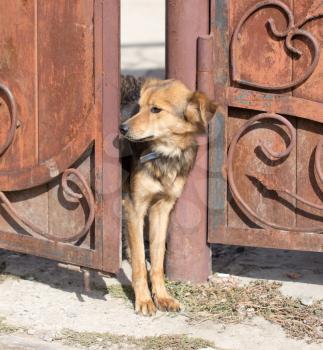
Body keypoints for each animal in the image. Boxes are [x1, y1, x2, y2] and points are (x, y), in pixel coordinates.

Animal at [119, 78, 218, 316]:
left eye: (156, 109)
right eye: (139, 107)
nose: (121, 128)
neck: (166, 154)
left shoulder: (161, 209)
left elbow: (157, 260)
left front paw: (162, 297)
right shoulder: (134, 207)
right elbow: (139, 262)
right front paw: (144, 299)